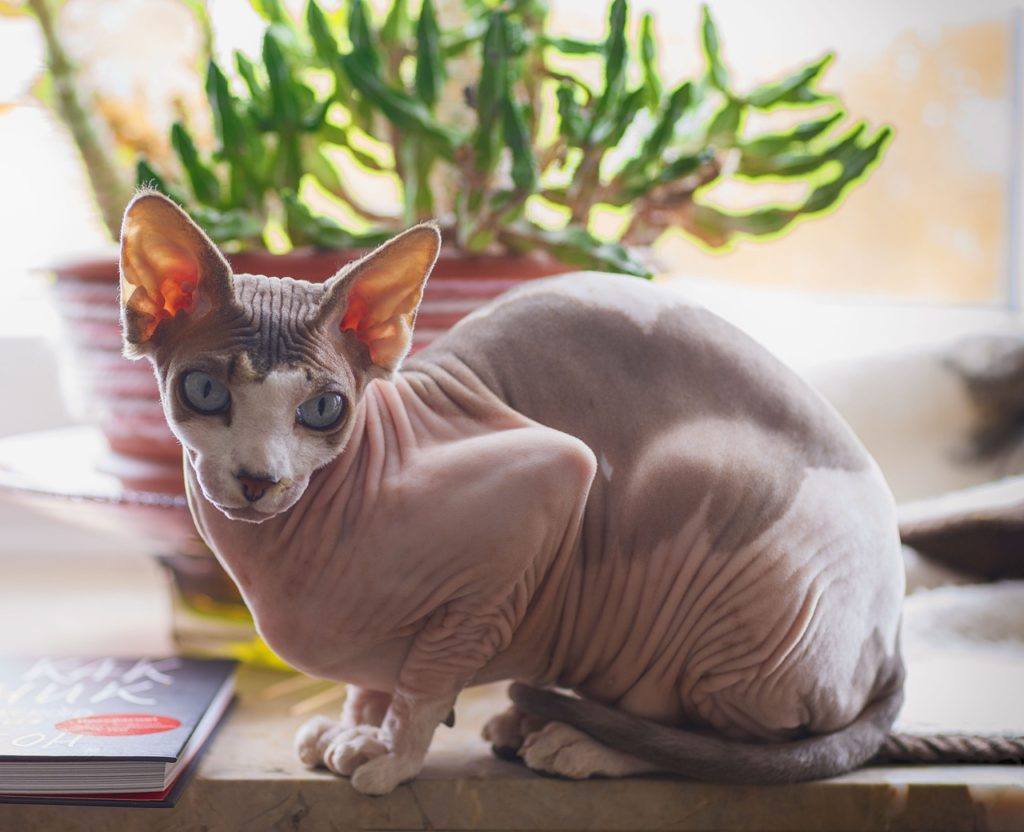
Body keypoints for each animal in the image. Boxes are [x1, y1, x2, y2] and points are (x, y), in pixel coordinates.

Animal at [116, 191, 909, 795]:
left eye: (323, 409)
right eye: (205, 391)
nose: (259, 478)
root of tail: (891, 635)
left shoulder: (548, 479)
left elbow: (431, 672)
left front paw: (391, 752)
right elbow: (375, 676)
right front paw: (356, 725)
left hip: (711, 517)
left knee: (713, 739)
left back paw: (582, 744)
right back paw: (530, 723)